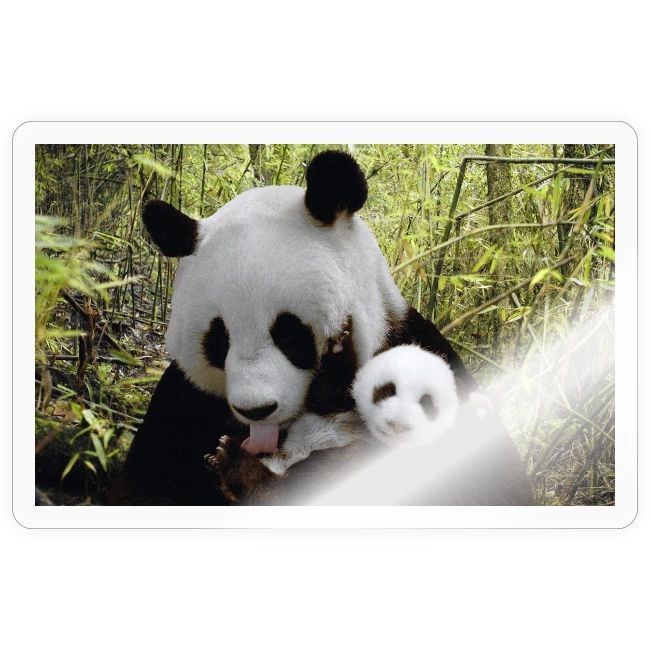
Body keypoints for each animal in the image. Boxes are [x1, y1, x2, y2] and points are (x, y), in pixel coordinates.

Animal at [108, 149, 532, 506]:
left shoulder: (417, 351)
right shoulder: (183, 401)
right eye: (219, 339)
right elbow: (143, 487)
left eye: (288, 333)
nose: (257, 410)